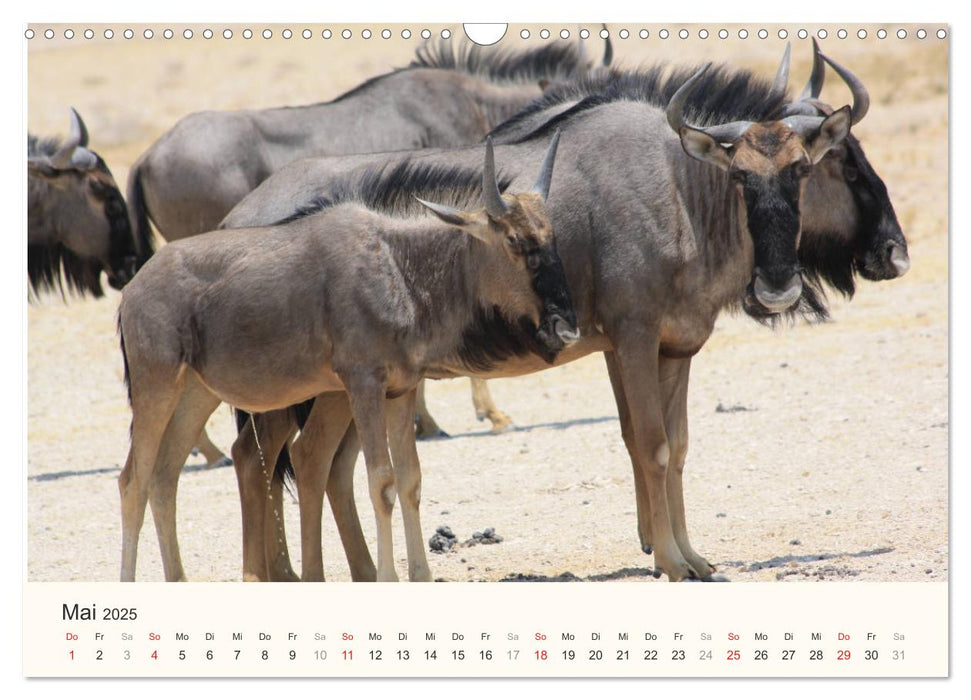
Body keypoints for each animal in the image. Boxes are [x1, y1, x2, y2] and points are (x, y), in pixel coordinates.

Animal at [118, 134, 580, 584]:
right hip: (155, 388)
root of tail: (132, 290)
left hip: (195, 393)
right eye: (515, 242)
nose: (566, 327)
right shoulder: (363, 385)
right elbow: (381, 480)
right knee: (134, 481)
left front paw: (421, 576)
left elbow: (410, 479)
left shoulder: (400, 391)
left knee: (165, 477)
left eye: (552, 236)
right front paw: (388, 577)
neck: (398, 265)